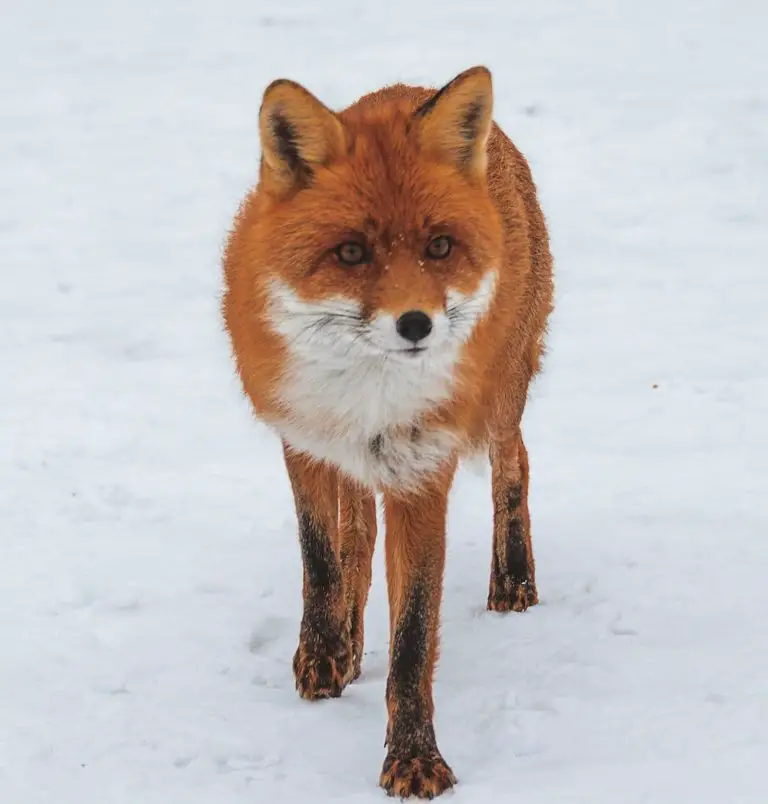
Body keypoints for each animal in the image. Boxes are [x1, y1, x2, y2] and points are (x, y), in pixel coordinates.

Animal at [222, 66, 554, 798]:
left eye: (439, 247)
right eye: (351, 252)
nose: (416, 324)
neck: (369, 395)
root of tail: (413, 84)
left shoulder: (421, 471)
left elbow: (412, 637)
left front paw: (414, 760)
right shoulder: (306, 441)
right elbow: (322, 559)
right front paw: (324, 652)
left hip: (499, 397)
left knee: (516, 462)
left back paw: (513, 580)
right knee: (357, 535)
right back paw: (344, 641)